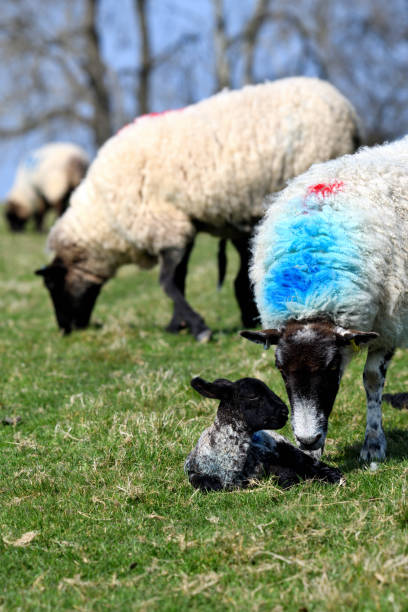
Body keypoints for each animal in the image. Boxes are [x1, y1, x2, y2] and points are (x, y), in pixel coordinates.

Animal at [34, 76, 360, 340]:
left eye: (51, 285)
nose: (65, 329)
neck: (104, 216)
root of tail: (346, 107)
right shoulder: (179, 226)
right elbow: (178, 279)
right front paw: (177, 325)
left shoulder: (164, 226)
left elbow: (167, 282)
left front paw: (197, 327)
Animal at [241, 133, 408, 460]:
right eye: (281, 369)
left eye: (331, 368)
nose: (307, 440)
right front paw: (313, 455)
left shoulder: (388, 323)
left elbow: (372, 379)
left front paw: (373, 446)